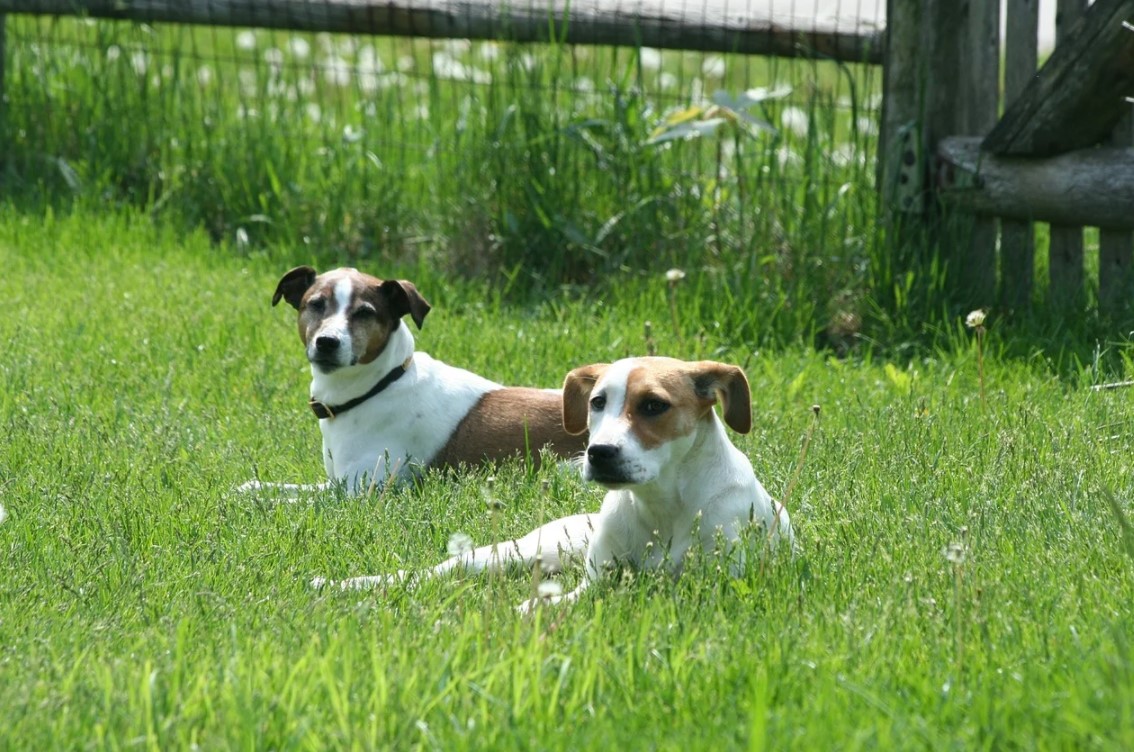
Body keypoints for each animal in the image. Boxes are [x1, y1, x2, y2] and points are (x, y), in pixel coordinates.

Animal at [242, 267, 589, 496]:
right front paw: (250, 488)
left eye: (365, 313)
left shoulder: (361, 492)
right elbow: (275, 488)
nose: (327, 342)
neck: (380, 385)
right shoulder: (336, 482)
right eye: (315, 304)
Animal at [317, 356, 798, 607]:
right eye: (597, 402)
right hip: (514, 551)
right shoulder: (597, 579)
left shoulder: (710, 587)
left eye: (654, 406)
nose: (599, 453)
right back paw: (347, 586)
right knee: (436, 572)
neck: (660, 505)